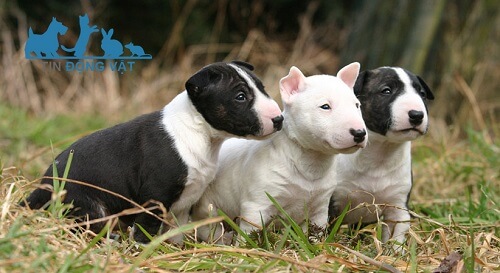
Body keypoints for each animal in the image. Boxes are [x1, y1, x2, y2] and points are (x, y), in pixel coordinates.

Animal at [23, 60, 284, 241]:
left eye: (262, 88)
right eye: (240, 97)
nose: (279, 119)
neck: (198, 130)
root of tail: (41, 186)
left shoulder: (184, 204)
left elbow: (177, 232)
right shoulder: (154, 197)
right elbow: (145, 229)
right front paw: (141, 250)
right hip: (87, 205)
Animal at [191, 62, 368, 242]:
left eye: (357, 105)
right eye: (325, 106)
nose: (359, 133)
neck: (310, 163)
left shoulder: (319, 208)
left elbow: (315, 235)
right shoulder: (256, 205)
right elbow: (249, 232)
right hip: (207, 209)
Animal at [328, 66, 434, 246]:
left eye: (422, 94)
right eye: (386, 90)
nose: (417, 115)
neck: (381, 152)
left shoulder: (397, 206)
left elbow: (395, 238)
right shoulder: (332, 202)